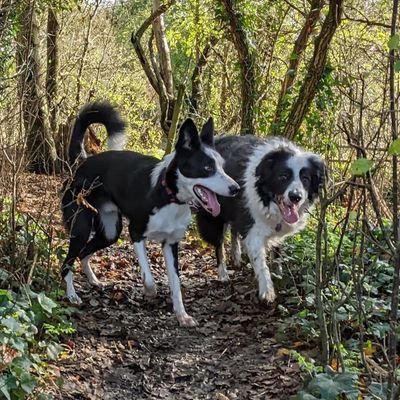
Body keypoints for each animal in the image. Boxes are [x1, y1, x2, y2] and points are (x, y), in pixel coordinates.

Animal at [61, 102, 239, 324]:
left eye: (222, 167)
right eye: (207, 168)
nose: (236, 189)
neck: (168, 196)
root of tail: (82, 162)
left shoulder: (170, 244)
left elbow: (176, 285)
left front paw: (182, 315)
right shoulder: (136, 233)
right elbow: (148, 276)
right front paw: (149, 291)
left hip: (110, 232)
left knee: (83, 253)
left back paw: (93, 280)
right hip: (80, 227)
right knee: (67, 263)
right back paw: (71, 295)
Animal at [196, 136, 324, 302]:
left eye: (305, 179)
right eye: (283, 177)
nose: (295, 197)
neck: (266, 198)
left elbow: (277, 252)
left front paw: (278, 273)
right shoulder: (252, 229)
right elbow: (260, 262)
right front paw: (267, 290)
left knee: (234, 230)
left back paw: (236, 257)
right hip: (215, 212)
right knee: (219, 242)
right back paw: (223, 273)